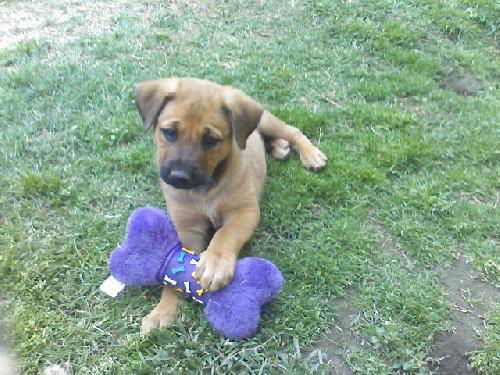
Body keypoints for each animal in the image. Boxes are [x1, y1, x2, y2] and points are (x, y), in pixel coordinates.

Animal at [134, 77, 328, 334]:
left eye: (211, 140)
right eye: (169, 132)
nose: (179, 177)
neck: (205, 189)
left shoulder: (245, 211)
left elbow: (226, 233)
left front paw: (214, 263)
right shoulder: (187, 227)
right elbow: (175, 267)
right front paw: (163, 311)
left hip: (266, 120)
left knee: (291, 130)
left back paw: (310, 154)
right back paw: (279, 147)